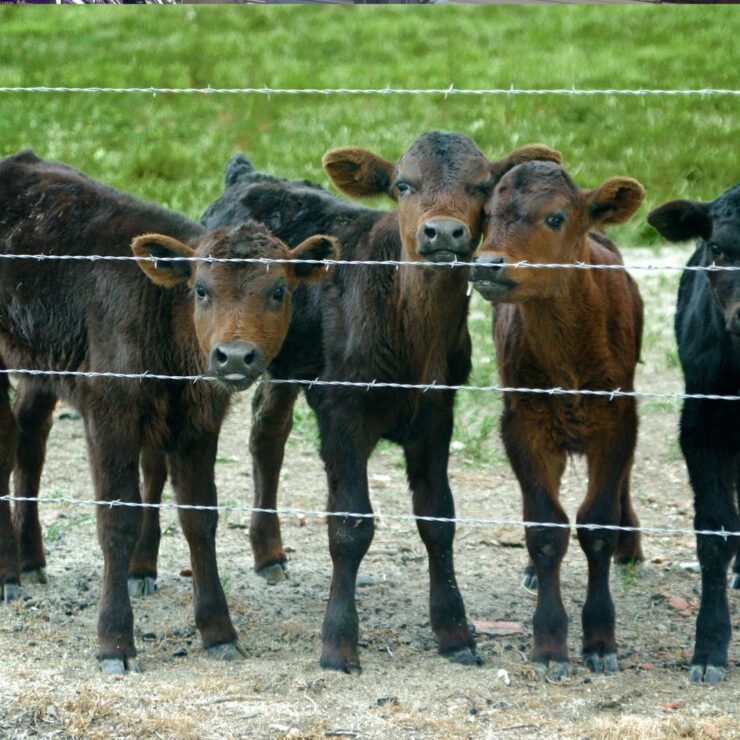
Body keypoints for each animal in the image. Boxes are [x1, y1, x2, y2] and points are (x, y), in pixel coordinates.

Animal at [0, 149, 336, 672]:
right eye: (200, 289)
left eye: (279, 290)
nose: (234, 357)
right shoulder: (109, 414)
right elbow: (117, 520)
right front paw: (115, 641)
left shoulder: (199, 421)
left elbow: (200, 517)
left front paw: (218, 631)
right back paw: (9, 573)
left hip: (40, 364)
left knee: (29, 435)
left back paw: (29, 562)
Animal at [472, 163, 644, 684]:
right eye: (486, 215)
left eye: (555, 218)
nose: (486, 264)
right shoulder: (524, 424)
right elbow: (547, 527)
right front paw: (549, 643)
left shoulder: (616, 421)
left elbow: (598, 523)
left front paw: (601, 640)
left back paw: (632, 545)